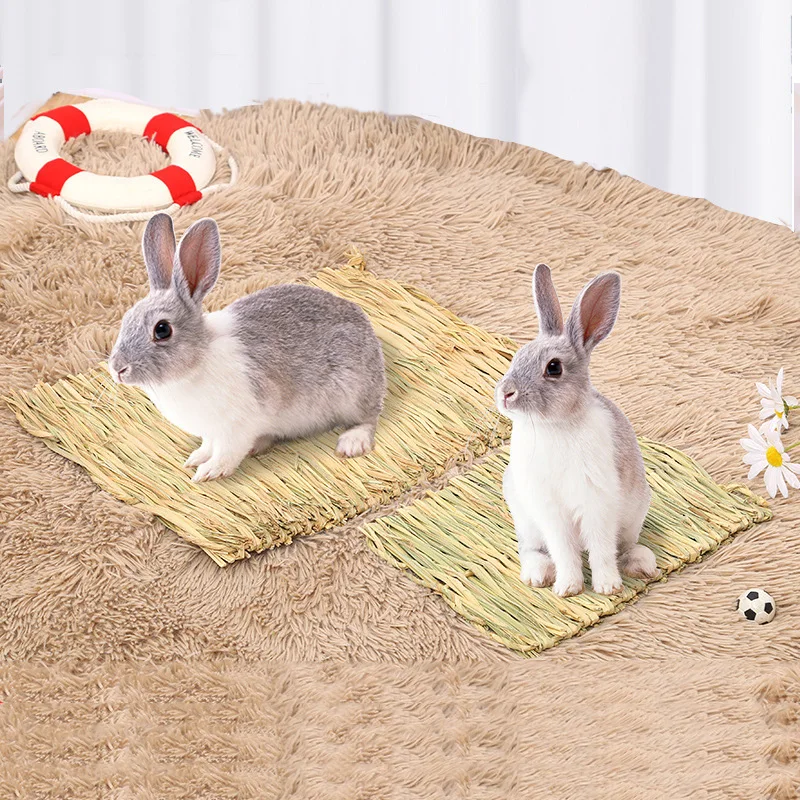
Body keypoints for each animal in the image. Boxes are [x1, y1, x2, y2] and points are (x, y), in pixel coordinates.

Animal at [108, 213, 386, 482]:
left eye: (162, 330)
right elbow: (208, 445)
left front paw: (208, 472)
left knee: (369, 419)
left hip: (352, 392)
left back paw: (352, 443)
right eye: (126, 318)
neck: (197, 361)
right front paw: (196, 458)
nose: (117, 369)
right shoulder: (212, 431)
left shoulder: (236, 427)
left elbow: (227, 453)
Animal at [494, 264, 658, 596]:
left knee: (623, 546)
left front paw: (607, 586)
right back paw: (538, 575)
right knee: (530, 549)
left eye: (554, 367)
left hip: (634, 513)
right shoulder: (550, 511)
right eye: (517, 356)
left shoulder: (597, 502)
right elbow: (564, 550)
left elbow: (601, 548)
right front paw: (568, 588)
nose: (505, 394)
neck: (555, 425)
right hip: (525, 518)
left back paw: (641, 563)